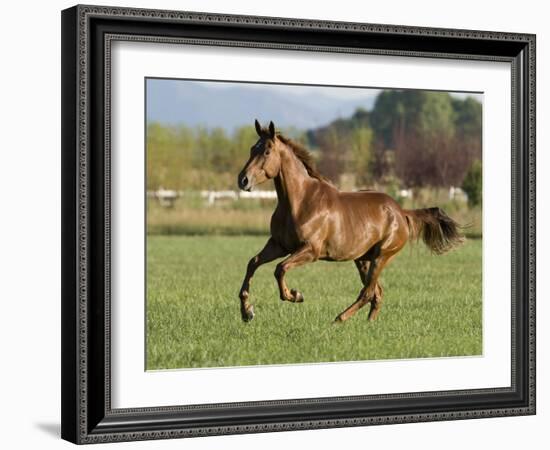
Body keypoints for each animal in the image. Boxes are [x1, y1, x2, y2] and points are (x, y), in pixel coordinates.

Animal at [237, 120, 466, 324]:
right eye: (252, 149)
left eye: (267, 152)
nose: (243, 180)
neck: (300, 201)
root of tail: (401, 212)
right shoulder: (279, 244)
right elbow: (253, 263)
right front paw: (247, 312)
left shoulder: (310, 250)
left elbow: (280, 268)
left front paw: (295, 295)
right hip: (362, 259)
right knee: (377, 293)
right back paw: (367, 324)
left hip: (381, 257)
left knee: (368, 292)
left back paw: (338, 320)